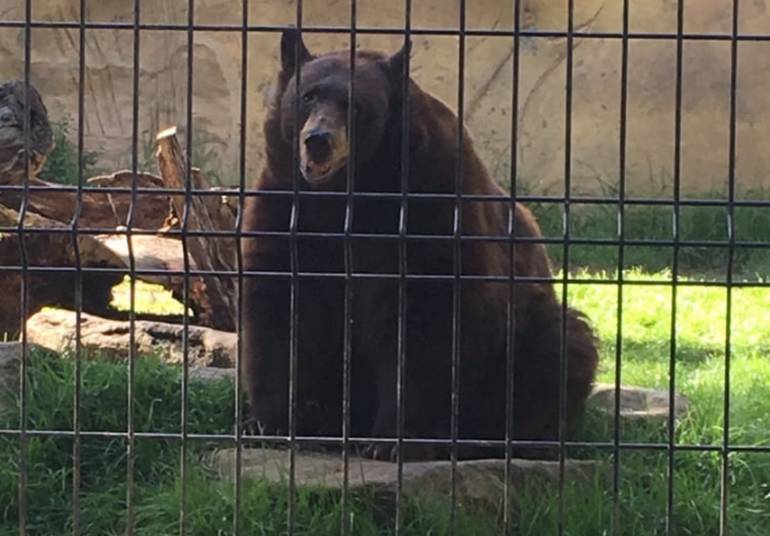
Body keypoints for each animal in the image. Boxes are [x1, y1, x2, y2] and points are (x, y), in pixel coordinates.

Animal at [242, 30, 600, 460]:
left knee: (561, 350)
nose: (318, 141)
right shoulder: (288, 209)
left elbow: (427, 321)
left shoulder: (431, 205)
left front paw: (392, 440)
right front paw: (272, 420)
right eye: (307, 96)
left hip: (524, 338)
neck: (350, 195)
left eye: (355, 104)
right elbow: (281, 307)